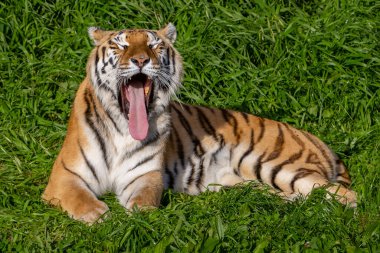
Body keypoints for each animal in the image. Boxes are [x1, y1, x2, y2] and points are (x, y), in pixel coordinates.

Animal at [42, 22, 356, 222]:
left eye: (154, 45)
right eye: (121, 45)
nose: (141, 60)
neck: (122, 126)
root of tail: (319, 141)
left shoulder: (145, 175)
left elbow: (143, 201)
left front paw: (135, 217)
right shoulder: (64, 176)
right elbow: (78, 198)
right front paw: (99, 215)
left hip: (277, 164)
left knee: (347, 196)